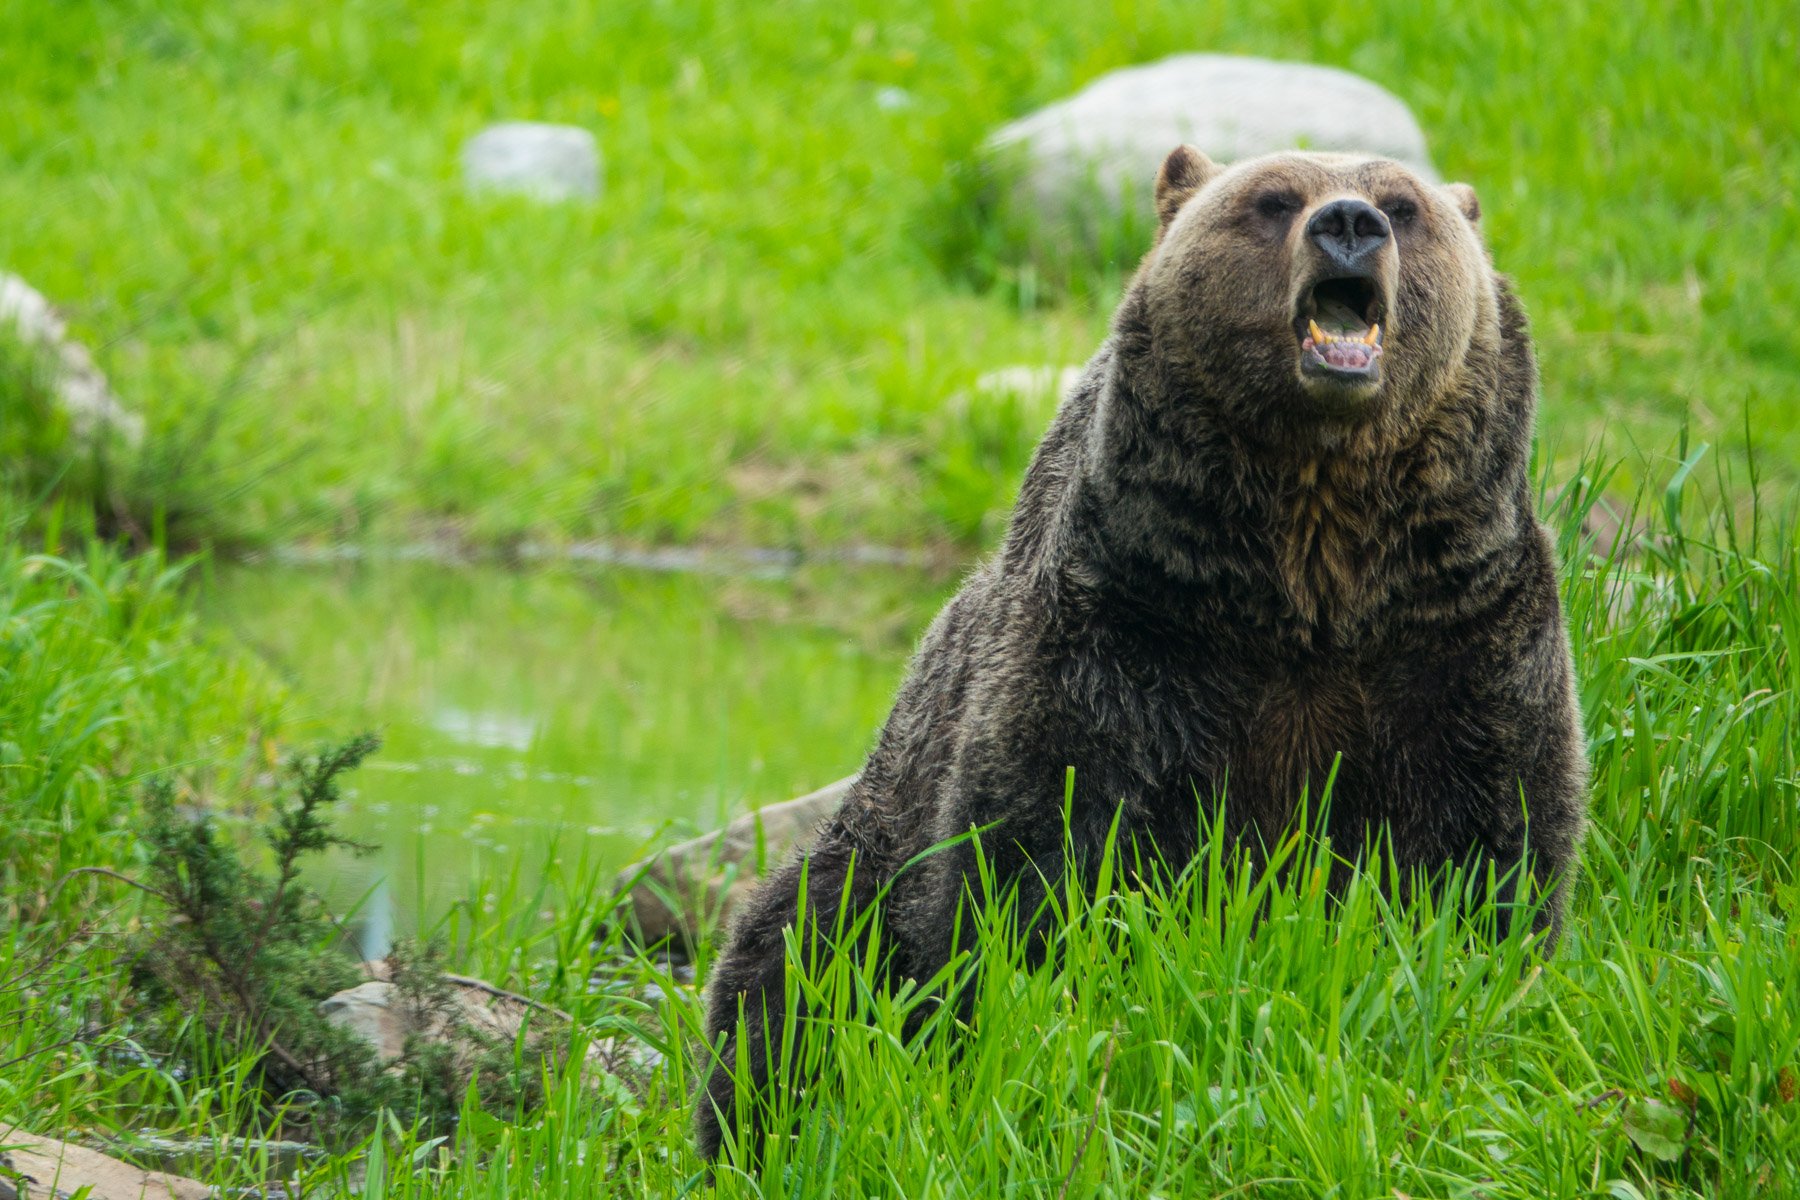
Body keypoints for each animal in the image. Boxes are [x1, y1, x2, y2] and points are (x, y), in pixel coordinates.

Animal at [694, 143, 1584, 1165]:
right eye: (1272, 197)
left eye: (1405, 204)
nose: (1350, 223)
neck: (1312, 573)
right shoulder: (1134, 625)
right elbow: (1047, 845)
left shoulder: (1454, 633)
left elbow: (1486, 841)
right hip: (865, 847)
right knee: (794, 968)